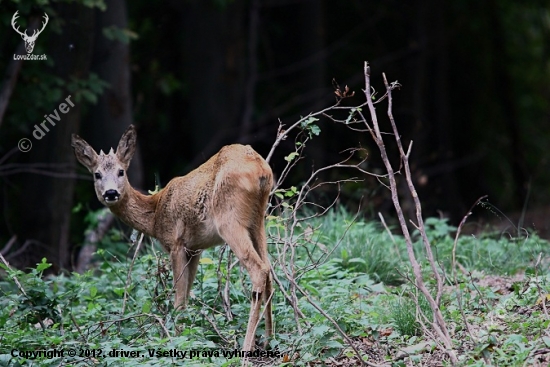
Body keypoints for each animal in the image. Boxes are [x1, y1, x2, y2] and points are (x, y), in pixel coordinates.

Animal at [71, 126, 274, 350]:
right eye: (97, 174)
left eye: (120, 171)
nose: (111, 193)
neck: (155, 213)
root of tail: (261, 170)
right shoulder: (195, 249)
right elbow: (186, 296)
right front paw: (186, 334)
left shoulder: (176, 243)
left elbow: (178, 300)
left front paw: (176, 339)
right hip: (258, 220)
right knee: (269, 269)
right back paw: (268, 340)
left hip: (229, 220)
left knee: (259, 269)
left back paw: (247, 346)